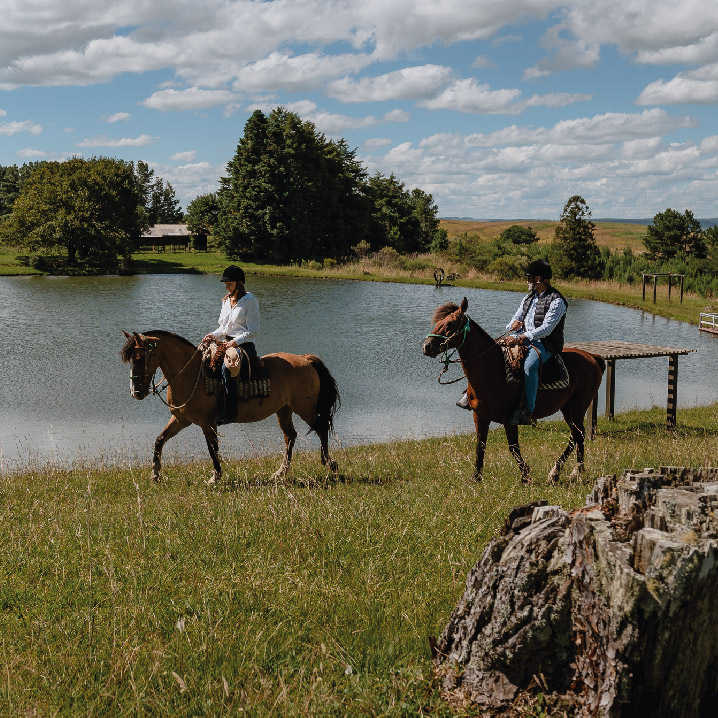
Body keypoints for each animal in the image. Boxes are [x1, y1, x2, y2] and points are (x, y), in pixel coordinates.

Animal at [121, 330, 340, 483]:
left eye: (139, 357)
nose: (136, 393)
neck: (192, 375)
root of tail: (305, 359)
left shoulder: (207, 423)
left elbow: (212, 449)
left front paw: (215, 477)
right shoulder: (181, 419)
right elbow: (159, 440)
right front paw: (155, 474)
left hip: (305, 407)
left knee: (321, 428)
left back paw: (329, 463)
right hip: (284, 410)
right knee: (290, 436)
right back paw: (280, 472)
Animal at [422, 298, 604, 483]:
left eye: (450, 323)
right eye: (438, 322)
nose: (427, 346)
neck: (493, 371)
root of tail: (593, 358)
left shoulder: (509, 419)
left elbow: (513, 448)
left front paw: (526, 476)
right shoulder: (480, 416)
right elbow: (480, 446)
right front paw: (476, 477)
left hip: (578, 406)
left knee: (578, 435)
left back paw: (571, 471)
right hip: (567, 408)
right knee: (575, 435)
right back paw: (560, 472)